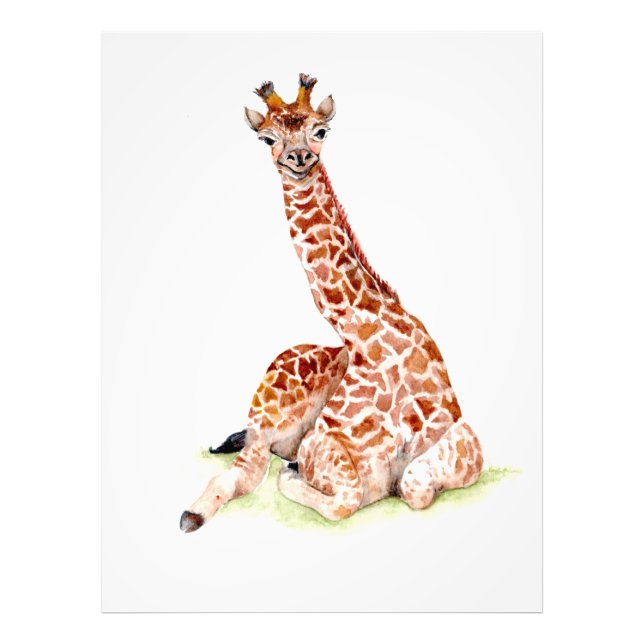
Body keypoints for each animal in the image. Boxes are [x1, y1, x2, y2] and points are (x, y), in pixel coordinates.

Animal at [180, 74, 483, 532]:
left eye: (319, 131)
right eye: (267, 138)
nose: (299, 157)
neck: (367, 332)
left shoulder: (465, 440)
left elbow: (413, 484)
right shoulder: (327, 452)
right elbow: (343, 499)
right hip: (268, 414)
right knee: (246, 470)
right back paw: (196, 509)